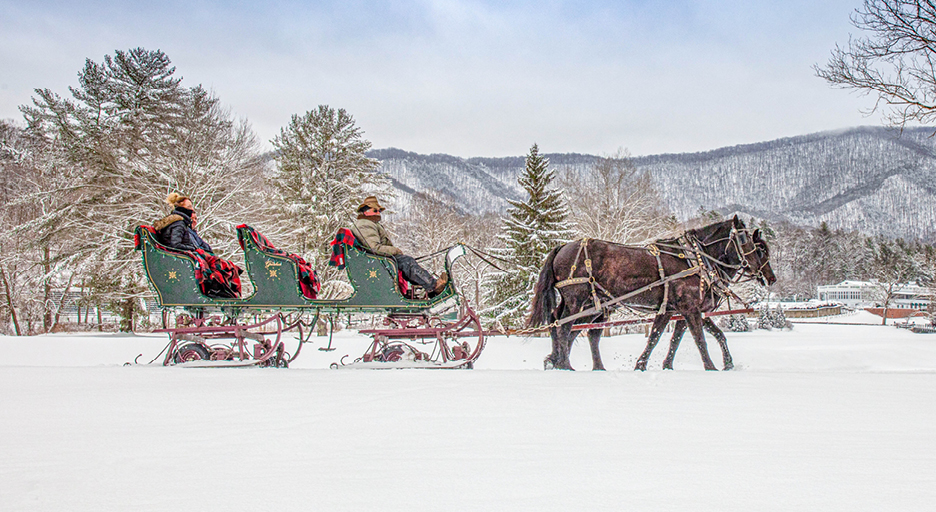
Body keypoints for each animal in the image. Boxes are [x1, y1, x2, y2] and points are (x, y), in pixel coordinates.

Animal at [528, 217, 776, 372]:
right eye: (754, 245)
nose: (770, 278)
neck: (696, 259)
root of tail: (562, 247)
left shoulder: (675, 310)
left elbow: (665, 338)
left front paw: (653, 365)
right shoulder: (690, 308)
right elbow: (700, 339)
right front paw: (711, 367)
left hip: (593, 305)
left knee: (573, 329)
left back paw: (566, 362)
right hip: (577, 300)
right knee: (563, 327)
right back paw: (562, 364)